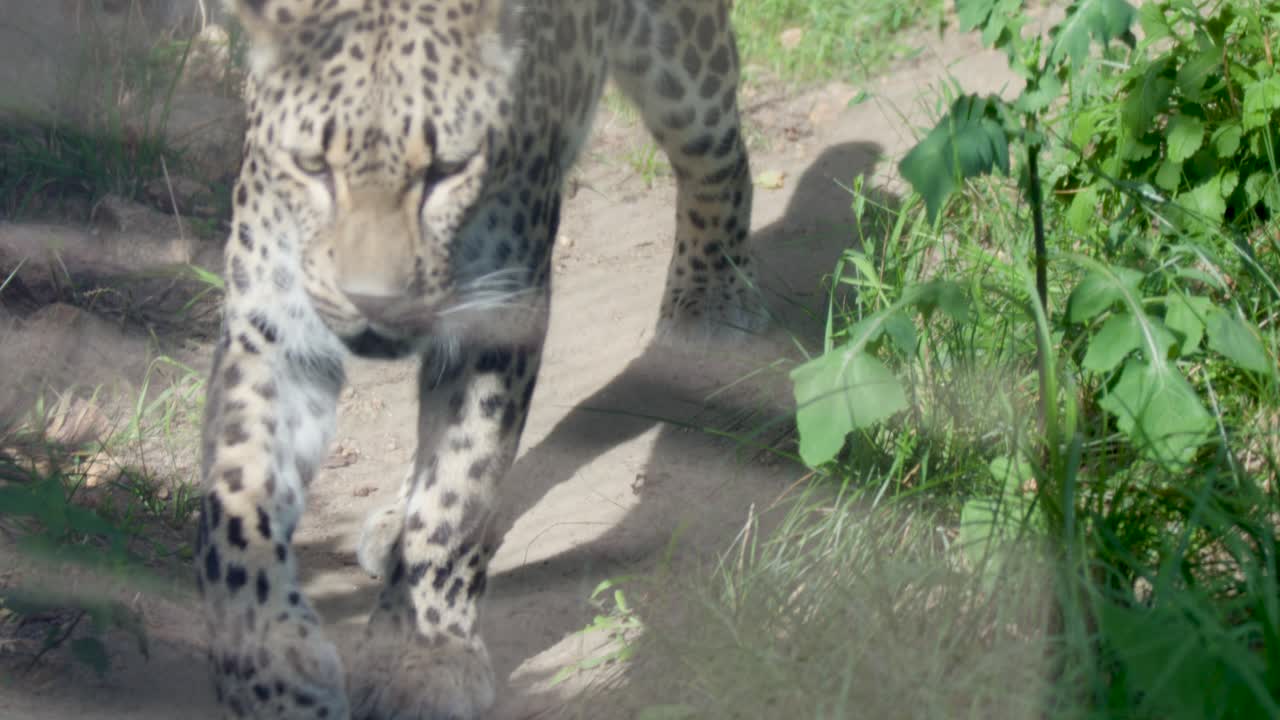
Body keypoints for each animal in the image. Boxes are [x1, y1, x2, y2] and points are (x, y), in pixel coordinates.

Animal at [195, 0, 757, 717]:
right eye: (314, 166)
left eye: (445, 172)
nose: (372, 300)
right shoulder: (272, 333)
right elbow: (238, 501)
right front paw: (269, 670)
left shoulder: (497, 322)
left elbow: (459, 492)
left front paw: (425, 655)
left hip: (682, 63)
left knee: (721, 153)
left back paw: (705, 300)